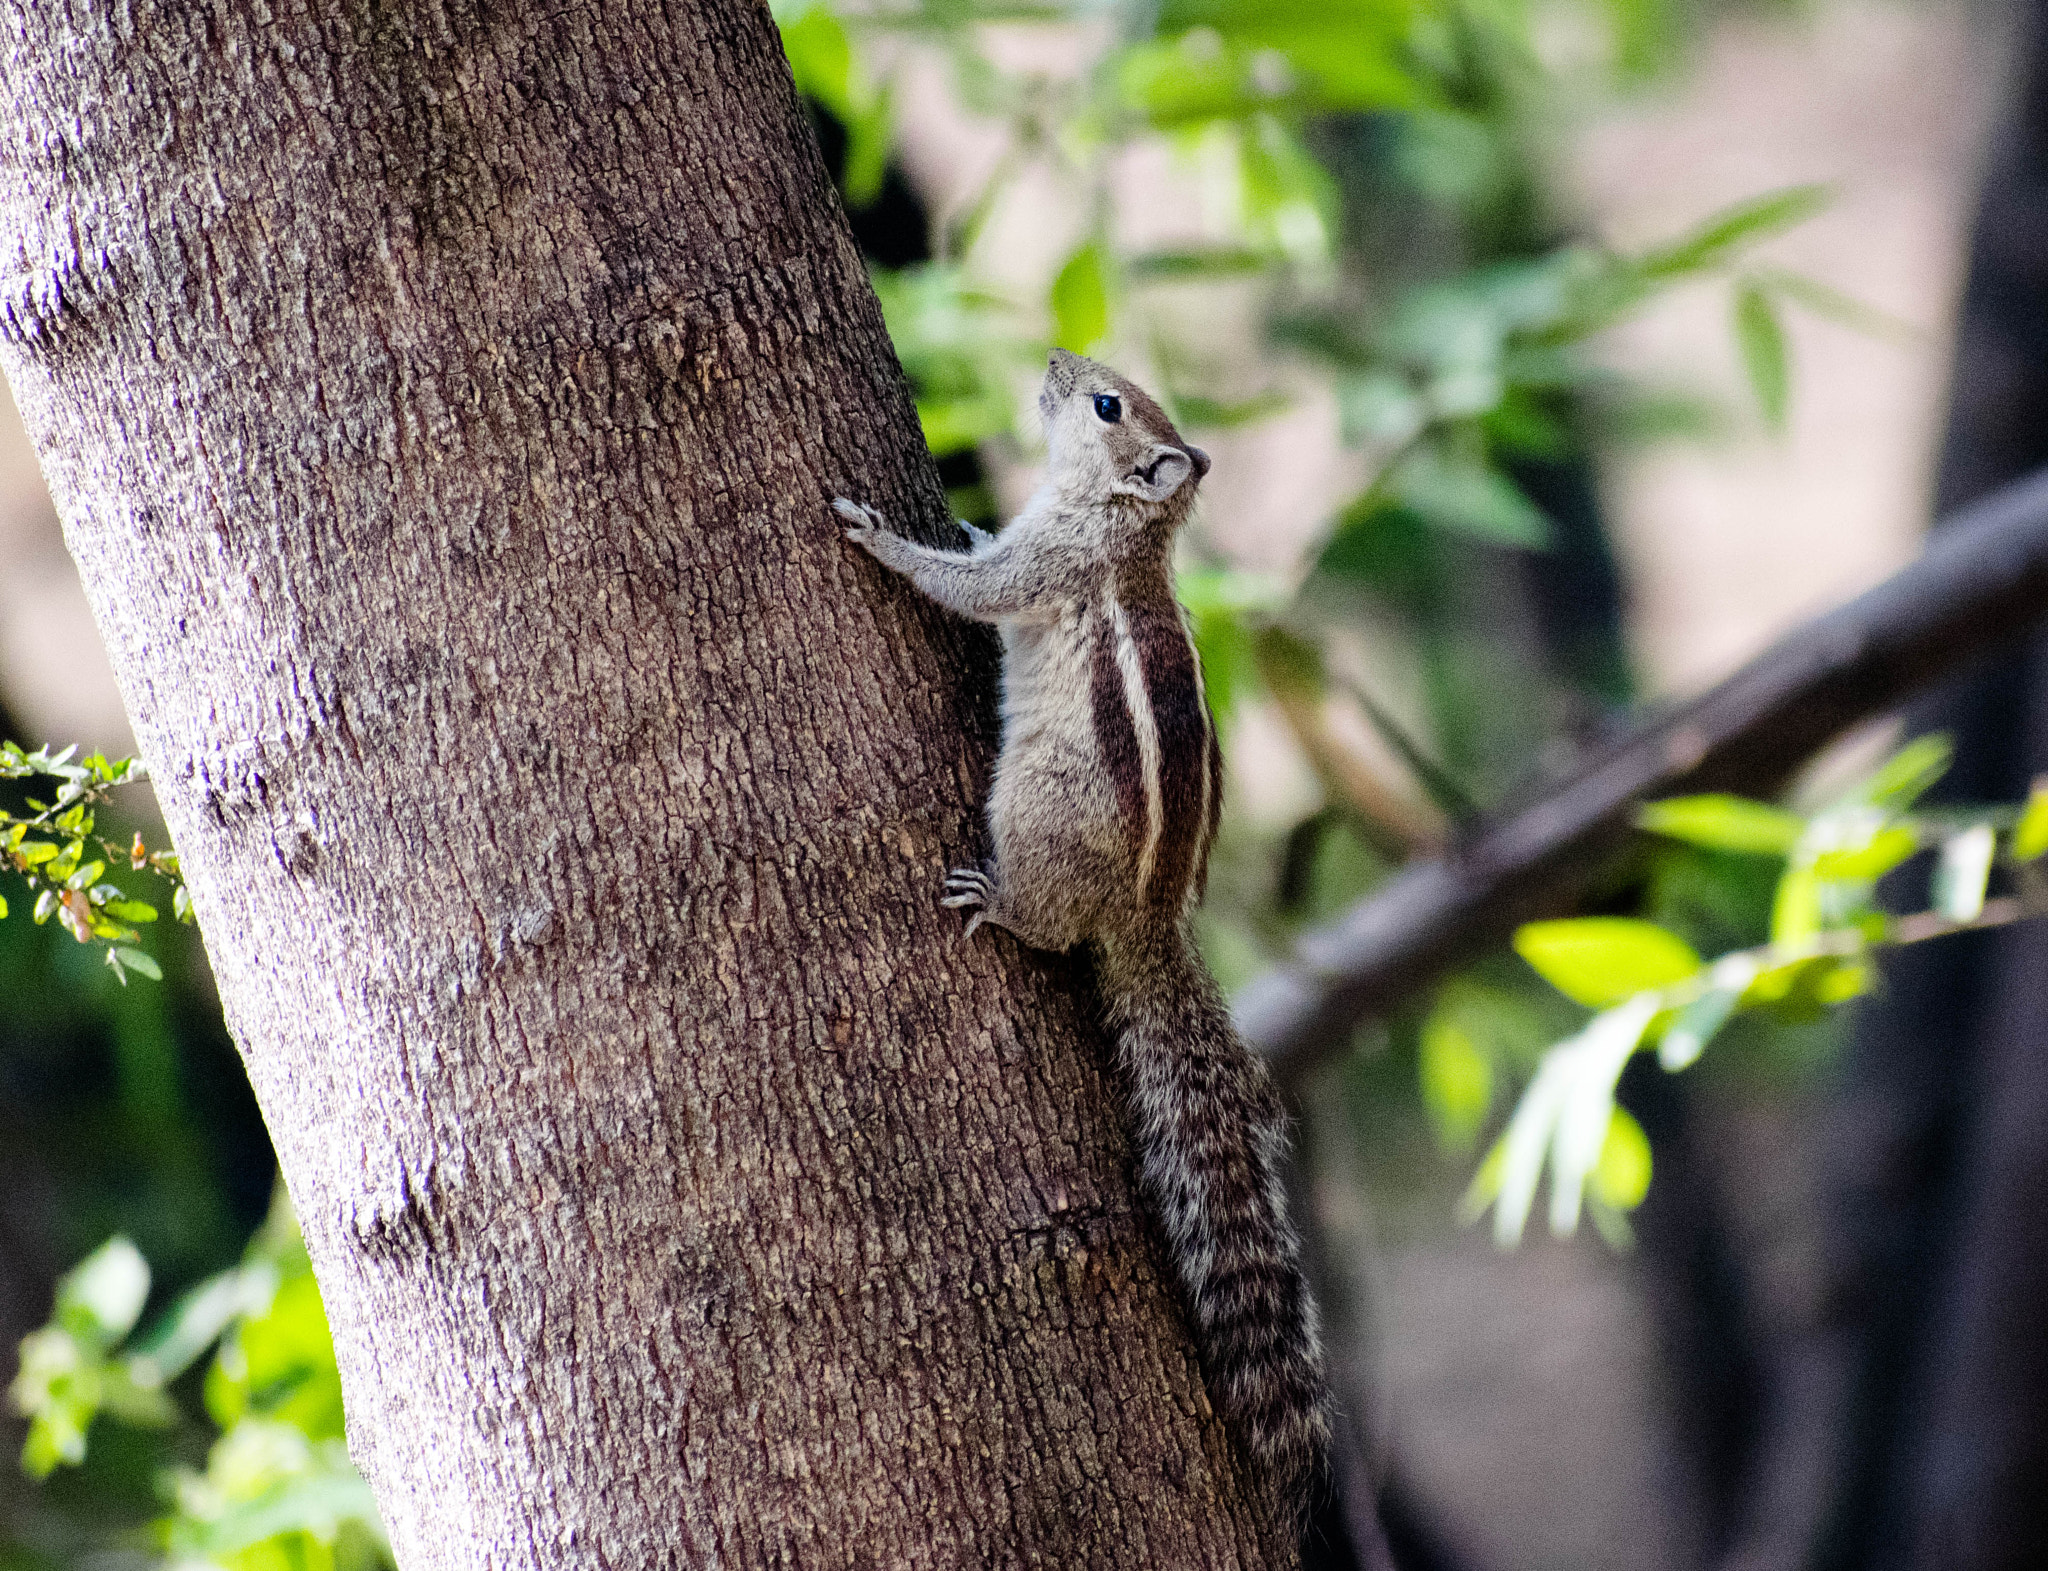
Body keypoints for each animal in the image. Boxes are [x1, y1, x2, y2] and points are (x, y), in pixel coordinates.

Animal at [839, 348, 1335, 1523]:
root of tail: (1148, 920)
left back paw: (999, 903)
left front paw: (884, 537)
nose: (1058, 365)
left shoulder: (1048, 563)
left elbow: (972, 588)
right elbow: (984, 557)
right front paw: (962, 520)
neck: (1118, 521)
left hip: (1033, 811)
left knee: (1049, 928)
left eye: (1107, 404)